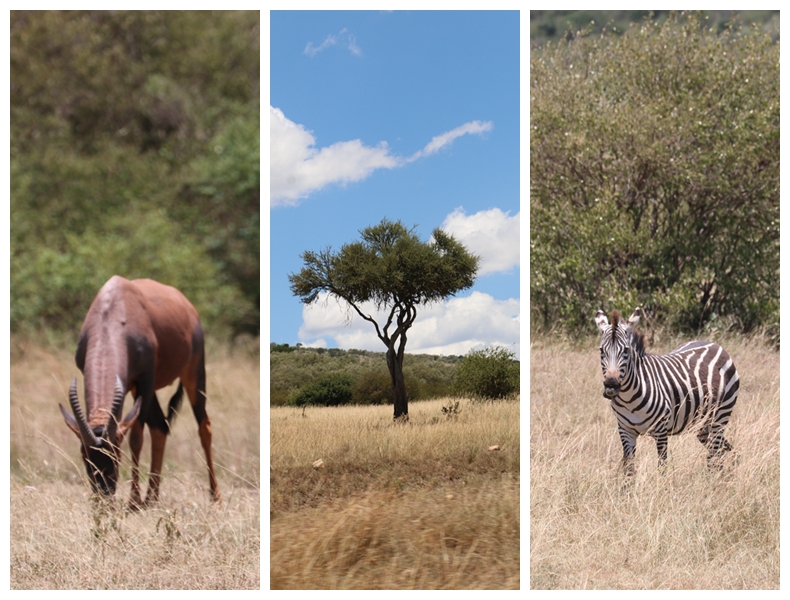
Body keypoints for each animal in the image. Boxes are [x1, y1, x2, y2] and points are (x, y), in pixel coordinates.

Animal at [59, 276, 221, 506]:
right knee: (160, 426)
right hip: (143, 390)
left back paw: (215, 496)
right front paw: (138, 500)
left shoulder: (145, 379)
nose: (104, 500)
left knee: (204, 427)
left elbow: (136, 439)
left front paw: (133, 501)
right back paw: (152, 497)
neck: (113, 311)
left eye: (117, 454)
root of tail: (187, 305)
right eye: (85, 455)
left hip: (193, 372)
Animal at [596, 310, 740, 474]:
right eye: (601, 350)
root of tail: (715, 345)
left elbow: (662, 468)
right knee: (717, 452)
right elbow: (629, 469)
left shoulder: (661, 431)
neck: (629, 399)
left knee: (716, 453)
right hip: (703, 423)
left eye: (626, 350)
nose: (611, 385)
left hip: (721, 414)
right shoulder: (625, 431)